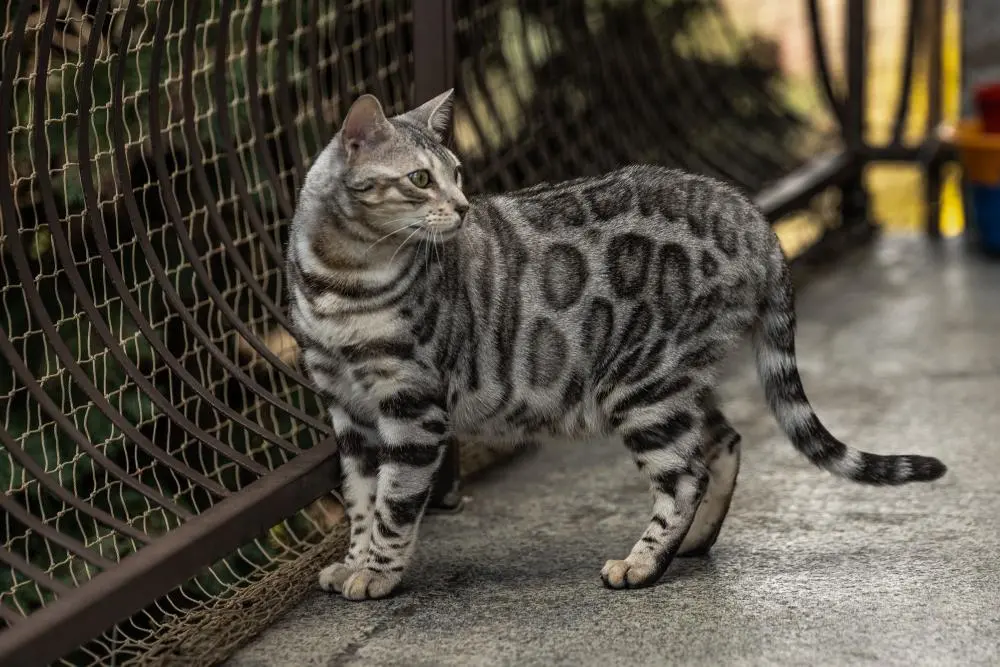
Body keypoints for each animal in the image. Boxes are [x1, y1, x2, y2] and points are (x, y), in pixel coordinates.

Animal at [286, 87, 948, 600]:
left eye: (456, 174)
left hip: (641, 383)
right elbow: (361, 497)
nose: (464, 207)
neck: (341, 282)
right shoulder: (347, 409)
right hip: (674, 380)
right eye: (421, 179)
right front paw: (355, 560)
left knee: (685, 474)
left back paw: (642, 563)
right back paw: (692, 542)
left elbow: (395, 501)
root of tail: (752, 217)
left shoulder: (412, 405)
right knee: (722, 441)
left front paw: (378, 573)